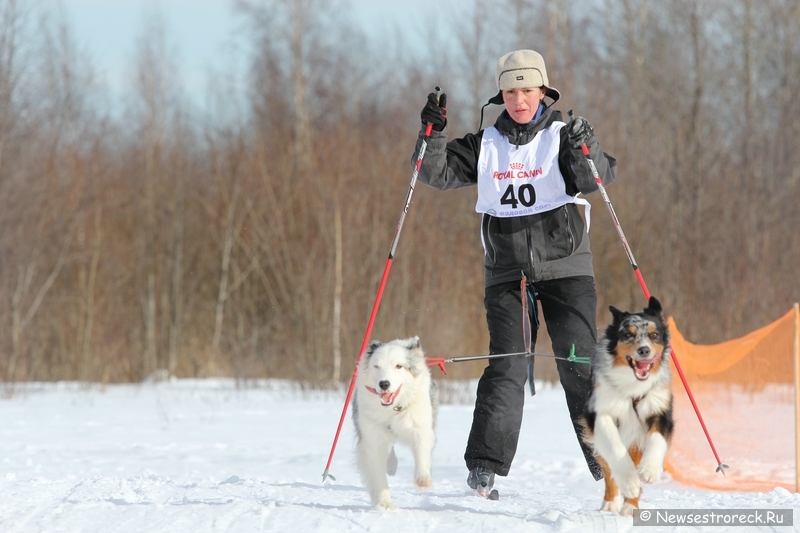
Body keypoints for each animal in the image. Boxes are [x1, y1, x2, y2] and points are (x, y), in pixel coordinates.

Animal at [352, 334, 438, 510]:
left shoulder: (420, 426)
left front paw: (423, 480)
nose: (384, 384)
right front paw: (385, 504)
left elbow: (422, 449)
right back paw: (391, 466)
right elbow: (377, 474)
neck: (392, 409)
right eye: (376, 366)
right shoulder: (372, 438)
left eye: (399, 366)